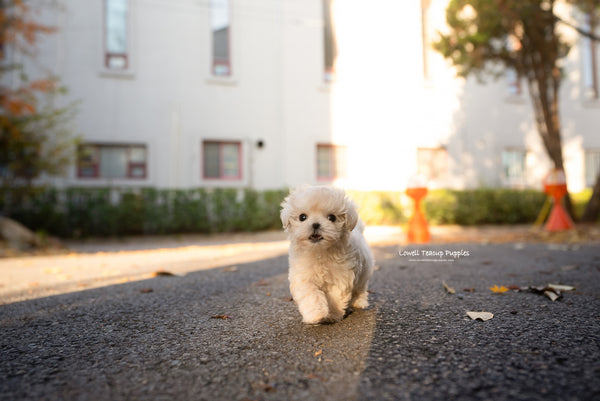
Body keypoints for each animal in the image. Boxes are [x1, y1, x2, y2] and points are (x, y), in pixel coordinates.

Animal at [278, 186, 372, 324]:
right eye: (302, 217)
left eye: (332, 217)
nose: (316, 224)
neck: (319, 251)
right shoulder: (303, 276)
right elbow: (310, 295)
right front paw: (315, 314)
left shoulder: (341, 276)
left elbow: (335, 297)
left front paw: (332, 314)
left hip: (364, 272)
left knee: (360, 288)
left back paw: (360, 302)